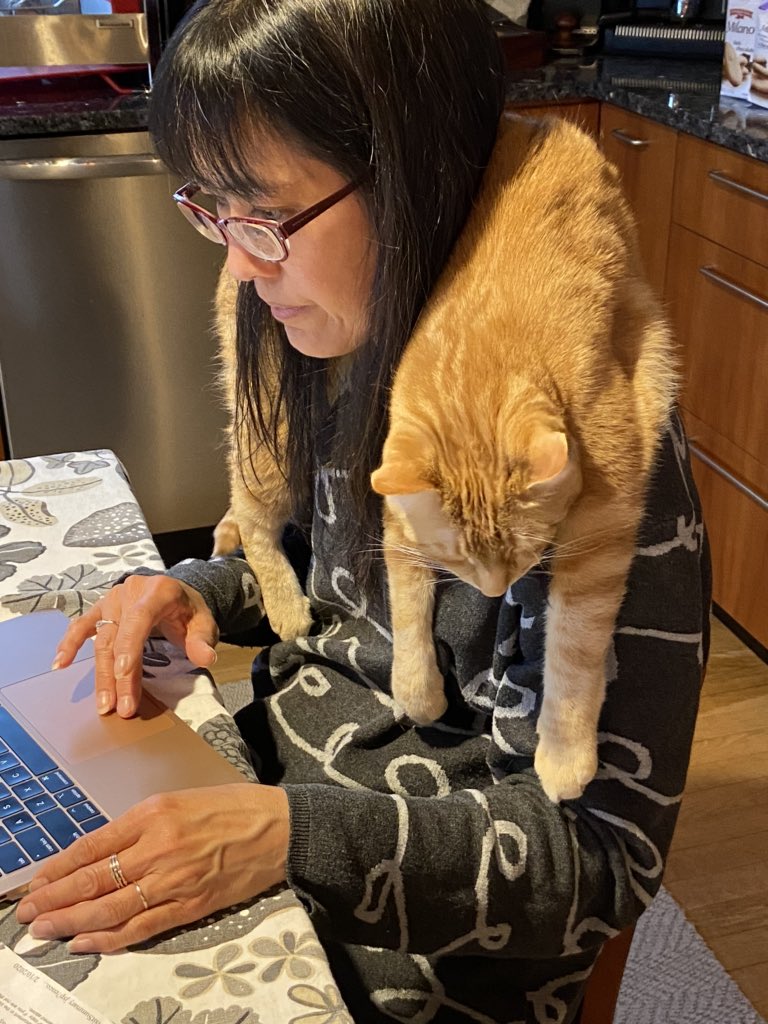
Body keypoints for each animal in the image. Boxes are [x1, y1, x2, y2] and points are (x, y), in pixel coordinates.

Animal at [372, 112, 679, 798]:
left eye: (521, 551)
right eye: (457, 557)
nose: (495, 587)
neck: (474, 365)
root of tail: (547, 116)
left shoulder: (601, 535)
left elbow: (573, 648)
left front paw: (563, 754)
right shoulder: (397, 502)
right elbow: (405, 595)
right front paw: (416, 687)